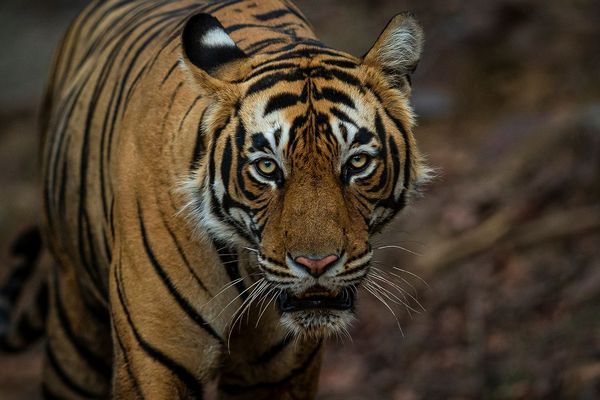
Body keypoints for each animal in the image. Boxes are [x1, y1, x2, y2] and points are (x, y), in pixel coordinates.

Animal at [0, 0, 432, 398]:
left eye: (357, 162)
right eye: (267, 168)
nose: (316, 264)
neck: (247, 266)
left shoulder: (279, 373)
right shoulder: (153, 364)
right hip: (74, 328)